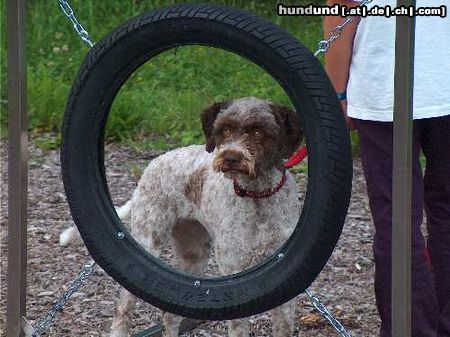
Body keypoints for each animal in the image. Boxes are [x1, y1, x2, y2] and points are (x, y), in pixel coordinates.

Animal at [60, 96, 302, 334]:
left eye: (258, 132)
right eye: (226, 129)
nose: (231, 157)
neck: (258, 196)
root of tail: (152, 165)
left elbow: (284, 325)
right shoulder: (234, 266)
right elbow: (238, 328)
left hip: (193, 254)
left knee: (169, 315)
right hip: (148, 242)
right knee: (123, 309)